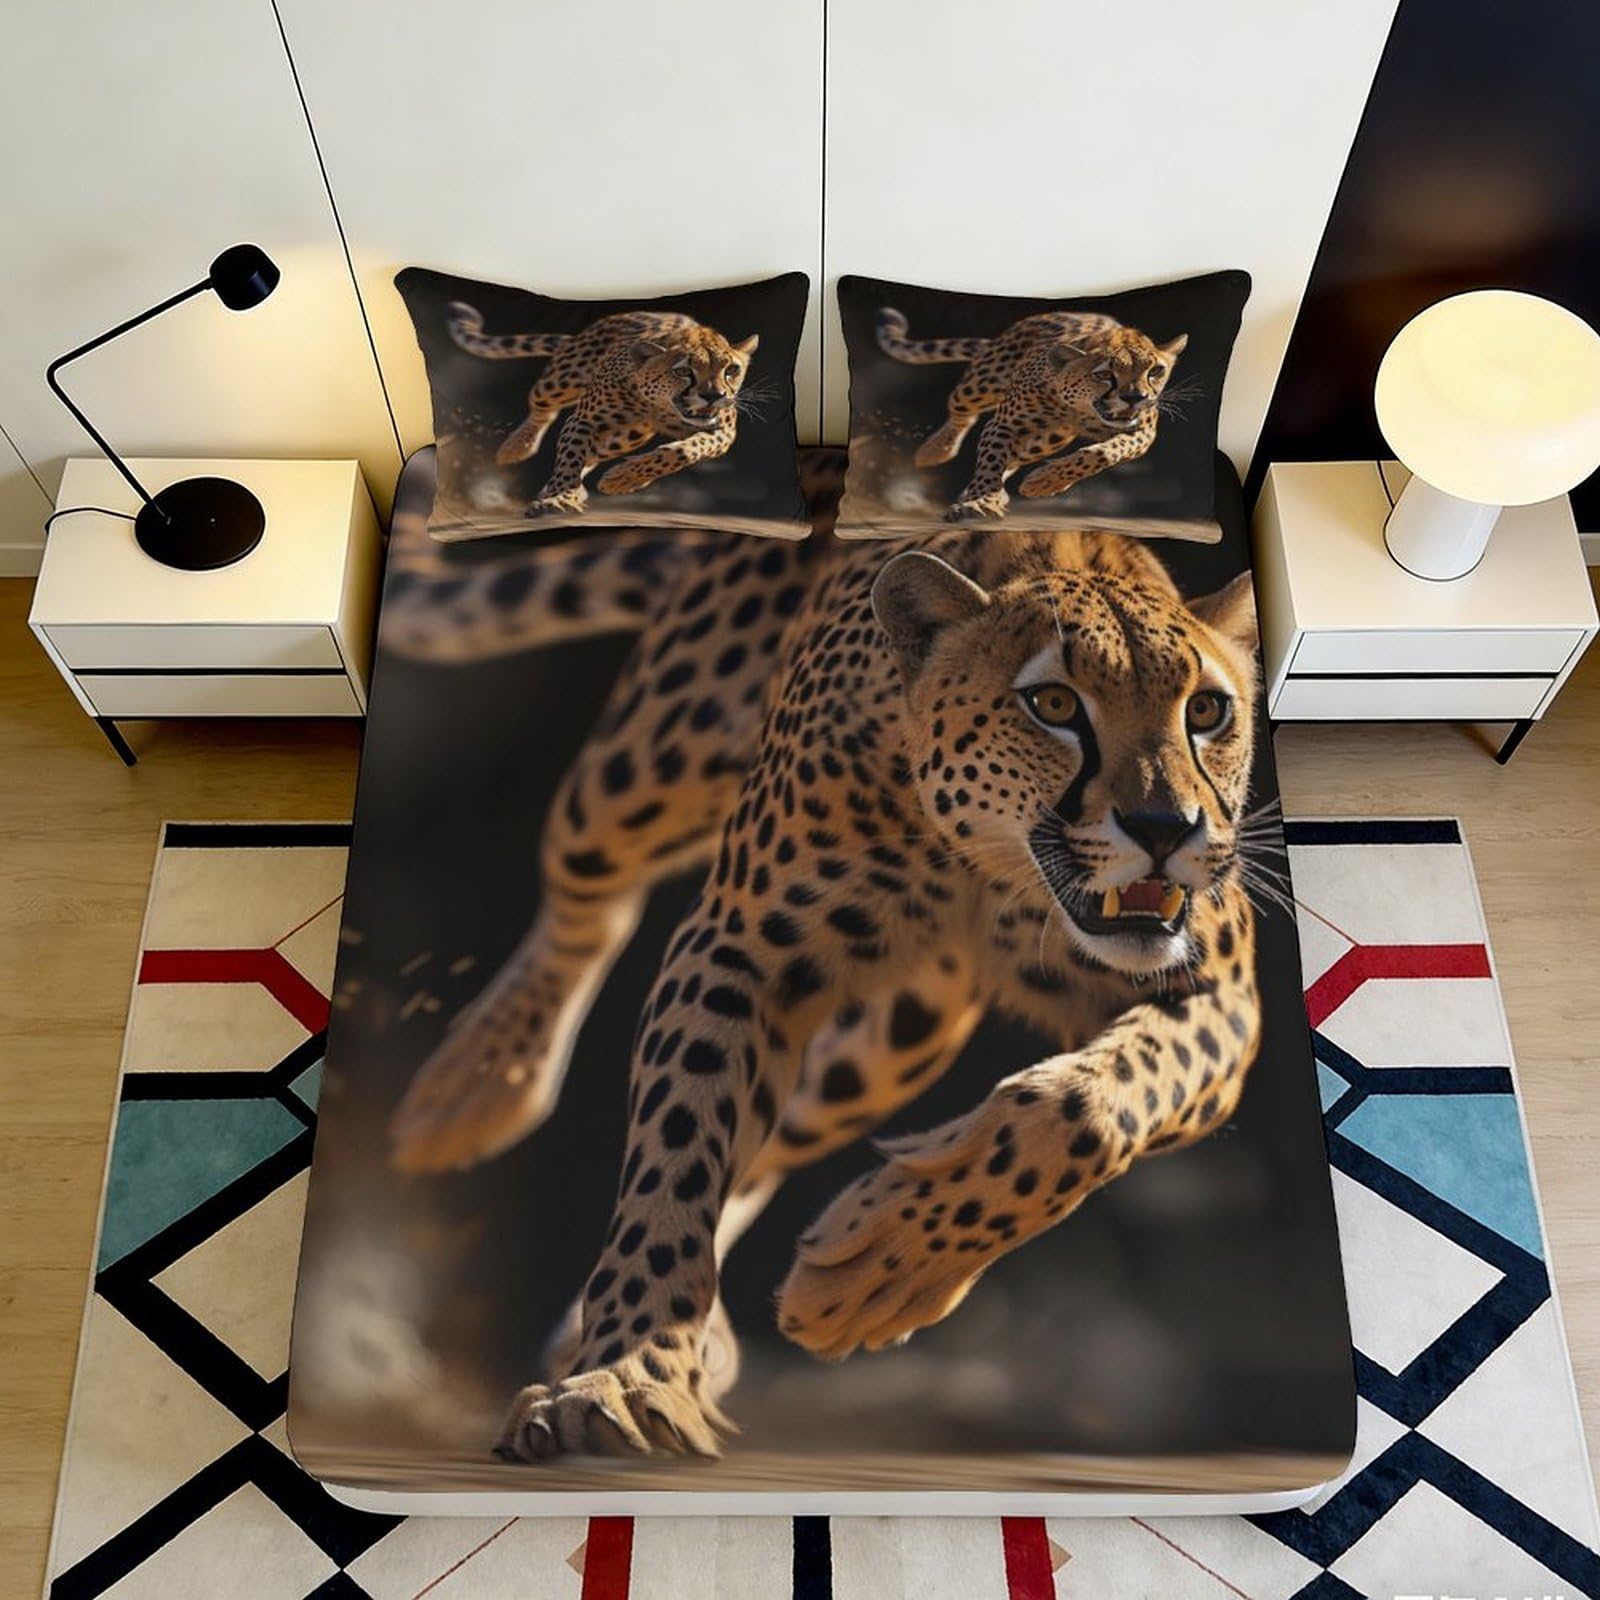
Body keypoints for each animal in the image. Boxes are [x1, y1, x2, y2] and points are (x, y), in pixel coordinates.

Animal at [382, 454, 1264, 1461]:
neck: (989, 872)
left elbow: (1086, 1106)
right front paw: (626, 1373)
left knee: (782, 1133)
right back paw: (480, 1085)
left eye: (1208, 711)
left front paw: (879, 1272)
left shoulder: (1222, 999)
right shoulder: (737, 947)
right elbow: (679, 1150)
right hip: (643, 772)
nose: (1164, 829)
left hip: (900, 1035)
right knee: (586, 897)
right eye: (1052, 705)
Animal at [446, 303, 759, 517]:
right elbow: (570, 456)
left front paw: (621, 480)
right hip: (560, 381)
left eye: (731, 370)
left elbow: (682, 451)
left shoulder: (723, 432)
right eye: (683, 371)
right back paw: (517, 447)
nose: (713, 396)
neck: (661, 407)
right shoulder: (585, 419)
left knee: (596, 453)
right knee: (542, 408)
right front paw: (561, 497)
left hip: (627, 435)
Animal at [876, 306, 1188, 521]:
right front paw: (981, 501)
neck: (1081, 411)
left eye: (1155, 370)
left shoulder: (1144, 432)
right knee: (961, 412)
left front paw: (1043, 483)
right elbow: (991, 460)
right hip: (980, 384)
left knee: (1016, 456)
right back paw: (935, 451)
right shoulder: (1004, 424)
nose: (1135, 398)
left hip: (1048, 439)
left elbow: (1103, 453)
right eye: (1104, 374)